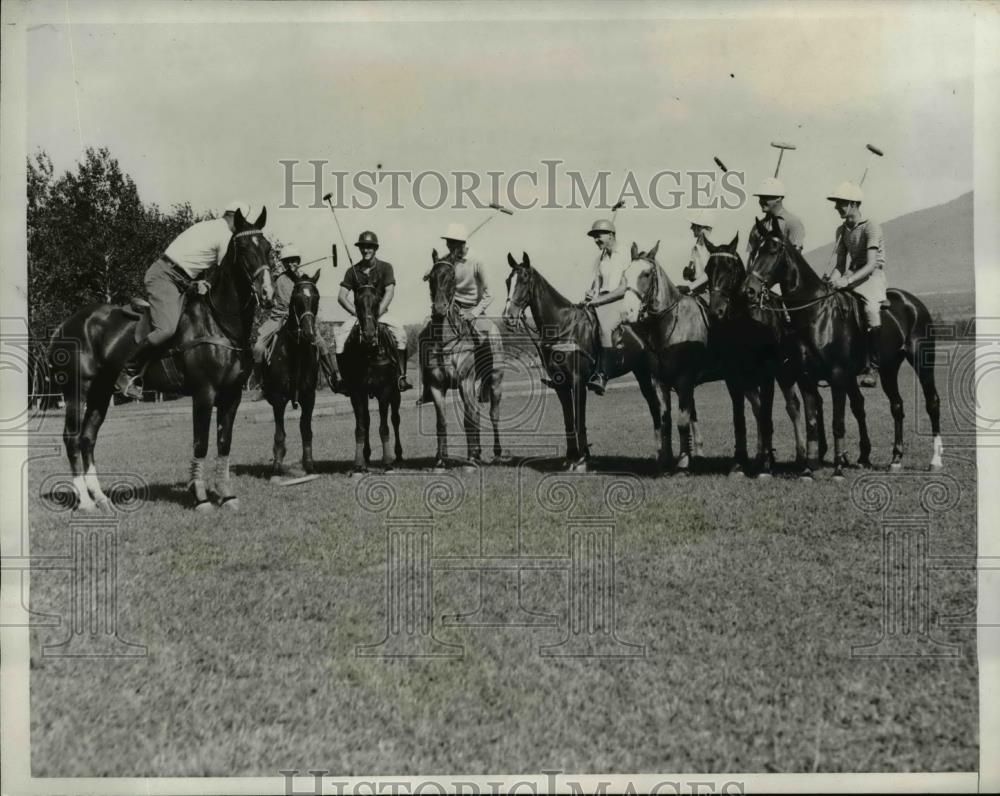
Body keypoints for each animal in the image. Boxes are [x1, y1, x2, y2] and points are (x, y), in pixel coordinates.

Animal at [47, 207, 274, 510]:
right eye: (245, 249)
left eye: (268, 248)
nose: (268, 294)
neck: (218, 323)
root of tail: (64, 326)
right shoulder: (204, 393)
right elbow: (200, 444)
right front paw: (200, 497)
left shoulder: (232, 394)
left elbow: (224, 444)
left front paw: (226, 495)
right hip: (76, 390)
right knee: (71, 438)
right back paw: (84, 501)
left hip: (100, 392)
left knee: (87, 438)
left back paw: (101, 497)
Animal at [260, 270, 322, 478]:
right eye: (296, 298)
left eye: (316, 297)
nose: (309, 333)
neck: (296, 350)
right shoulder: (279, 398)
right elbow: (280, 434)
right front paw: (277, 465)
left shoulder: (309, 397)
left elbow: (306, 429)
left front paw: (309, 463)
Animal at [340, 282, 402, 472]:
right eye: (357, 303)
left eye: (376, 303)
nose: (368, 335)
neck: (369, 352)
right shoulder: (356, 392)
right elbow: (360, 426)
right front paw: (359, 463)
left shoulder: (385, 390)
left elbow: (384, 427)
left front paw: (387, 461)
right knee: (366, 421)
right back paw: (366, 455)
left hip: (396, 393)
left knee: (395, 419)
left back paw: (398, 455)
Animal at [500, 252, 664, 470]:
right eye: (507, 281)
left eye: (524, 280)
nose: (508, 317)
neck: (563, 326)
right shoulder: (561, 385)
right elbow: (569, 420)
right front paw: (571, 457)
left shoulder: (578, 381)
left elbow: (579, 420)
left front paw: (582, 459)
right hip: (641, 373)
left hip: (651, 372)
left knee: (658, 406)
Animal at [748, 216, 940, 478]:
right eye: (755, 250)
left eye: (773, 250)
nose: (749, 289)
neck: (815, 315)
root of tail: (914, 302)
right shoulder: (805, 378)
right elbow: (811, 422)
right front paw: (808, 471)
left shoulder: (838, 376)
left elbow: (837, 423)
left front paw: (838, 470)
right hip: (889, 368)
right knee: (897, 406)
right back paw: (896, 459)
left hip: (921, 360)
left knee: (932, 402)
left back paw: (935, 460)